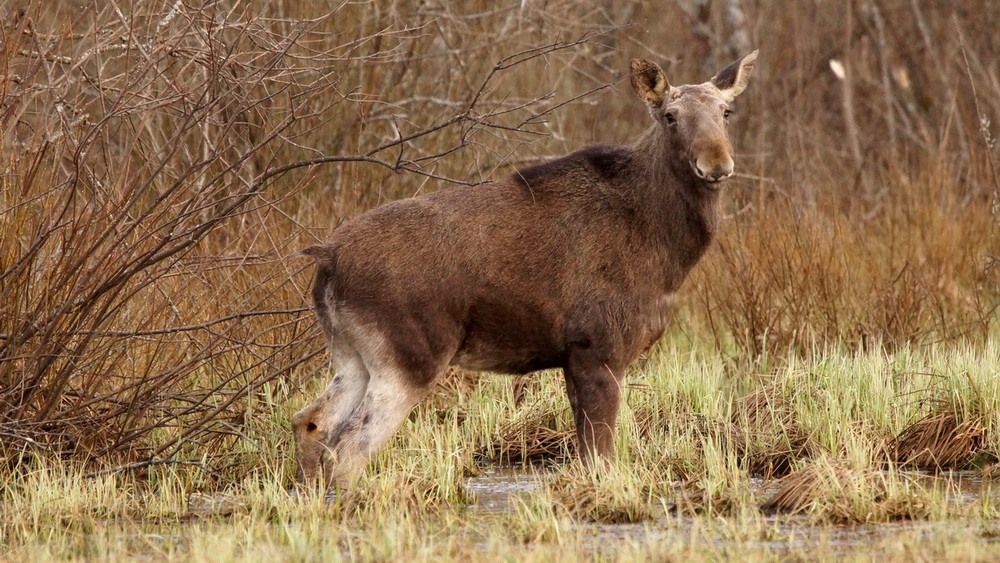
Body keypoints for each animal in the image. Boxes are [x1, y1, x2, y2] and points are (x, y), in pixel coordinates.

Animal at [294, 51, 756, 494]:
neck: (667, 251)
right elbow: (601, 455)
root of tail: (328, 258)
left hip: (351, 354)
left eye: (726, 112)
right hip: (409, 356)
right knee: (351, 445)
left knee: (311, 421)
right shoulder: (599, 348)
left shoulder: (576, 356)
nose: (717, 162)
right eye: (670, 116)